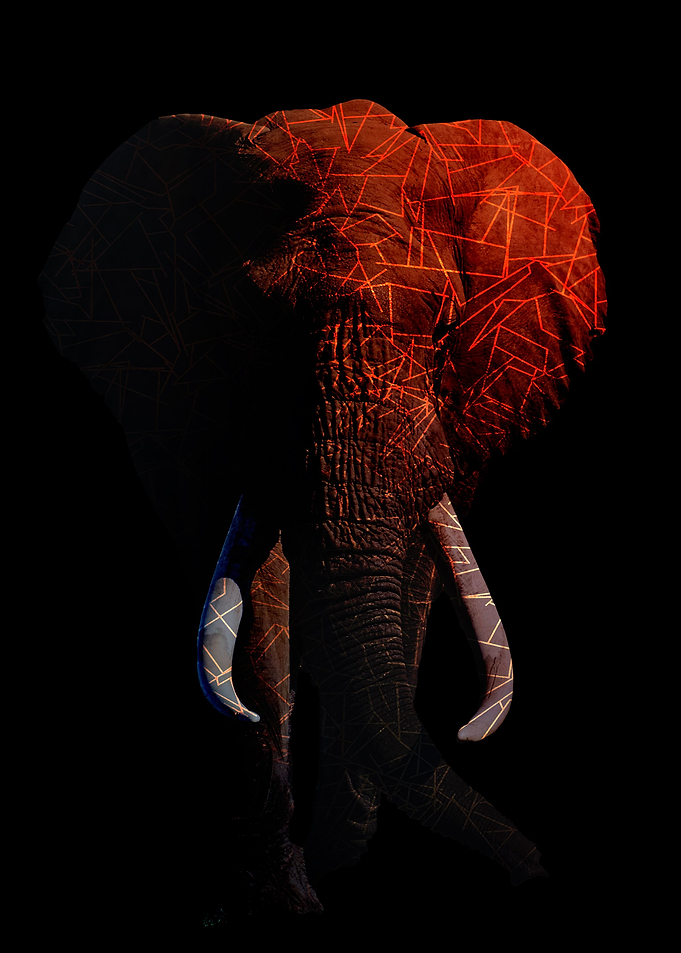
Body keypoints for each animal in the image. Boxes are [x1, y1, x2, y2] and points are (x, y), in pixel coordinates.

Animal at [40, 99, 606, 915]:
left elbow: (412, 574)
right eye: (244, 325)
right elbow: (253, 589)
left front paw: (336, 863)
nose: (532, 871)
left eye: (444, 326)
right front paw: (287, 900)